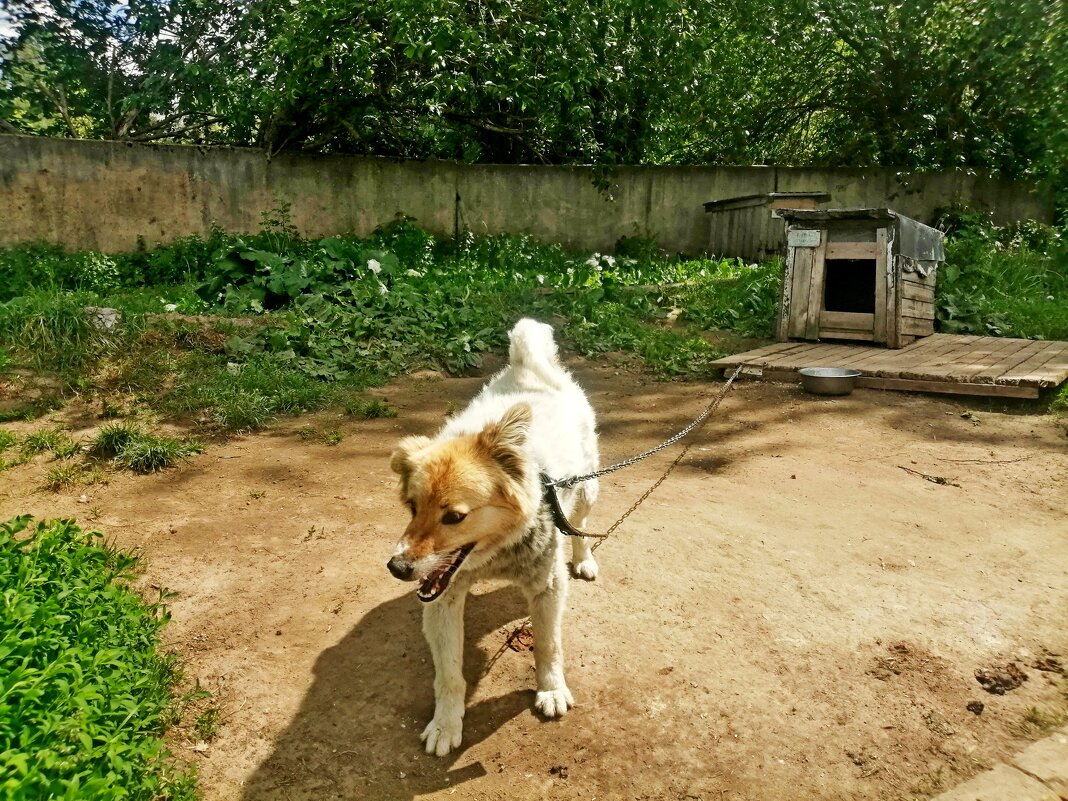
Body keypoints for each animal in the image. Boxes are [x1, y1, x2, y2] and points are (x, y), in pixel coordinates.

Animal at [386, 316, 602, 756]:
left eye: (454, 516)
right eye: (412, 507)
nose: (397, 568)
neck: (496, 553)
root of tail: (528, 366)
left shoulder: (547, 588)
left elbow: (548, 645)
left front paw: (551, 691)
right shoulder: (443, 599)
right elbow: (448, 674)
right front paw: (446, 724)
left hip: (587, 489)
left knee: (580, 529)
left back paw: (584, 560)